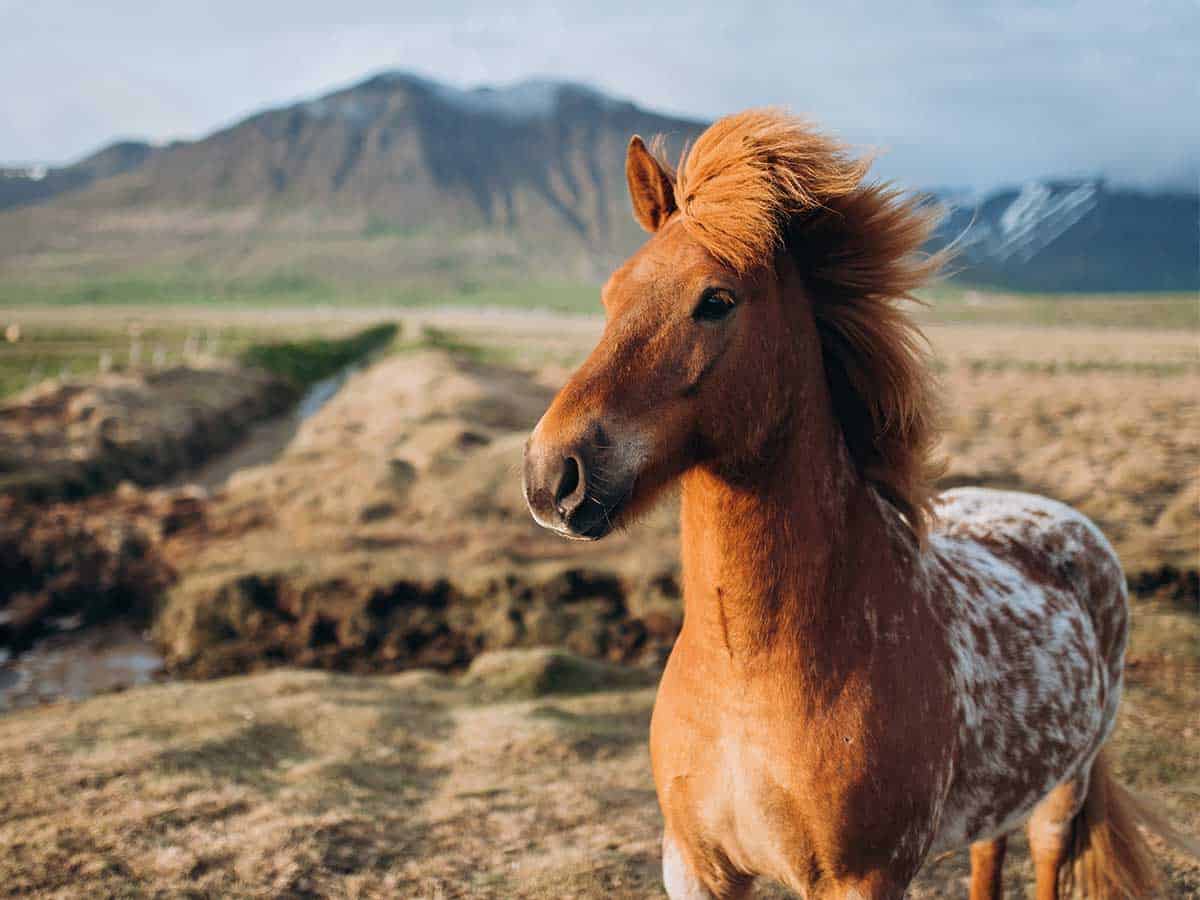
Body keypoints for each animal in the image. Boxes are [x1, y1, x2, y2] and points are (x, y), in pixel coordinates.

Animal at [523, 109, 1190, 897]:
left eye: (716, 301)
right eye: (610, 296)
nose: (551, 474)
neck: (749, 669)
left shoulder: (862, 877)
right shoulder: (694, 864)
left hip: (1064, 788)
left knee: (1048, 854)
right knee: (987, 854)